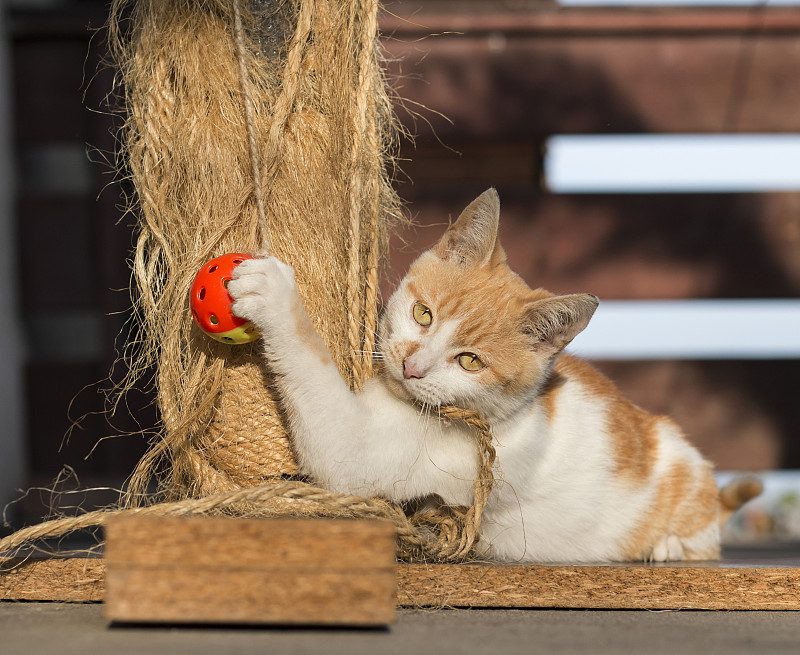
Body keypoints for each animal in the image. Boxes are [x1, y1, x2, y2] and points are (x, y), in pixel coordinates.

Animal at [228, 187, 760, 560]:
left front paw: (273, 293)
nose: (412, 367)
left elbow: (314, 372)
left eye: (470, 361)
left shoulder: (365, 460)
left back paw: (667, 546)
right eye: (423, 314)